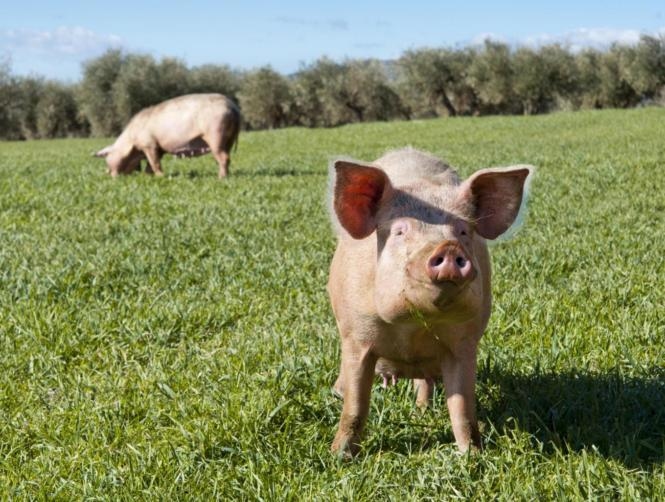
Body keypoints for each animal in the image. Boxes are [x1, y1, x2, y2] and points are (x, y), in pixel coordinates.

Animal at [94, 93, 240, 178]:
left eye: (107, 157)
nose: (107, 174)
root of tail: (232, 106)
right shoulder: (158, 148)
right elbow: (150, 164)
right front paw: (148, 177)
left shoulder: (149, 144)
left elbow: (154, 163)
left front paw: (161, 176)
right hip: (228, 138)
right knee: (225, 156)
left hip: (215, 133)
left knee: (224, 157)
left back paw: (221, 178)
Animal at [327, 148, 533, 457]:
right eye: (400, 231)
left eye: (463, 231)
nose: (447, 248)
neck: (413, 328)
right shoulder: (357, 335)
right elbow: (355, 407)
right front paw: (338, 457)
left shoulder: (465, 343)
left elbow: (463, 409)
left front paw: (472, 456)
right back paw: (337, 393)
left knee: (424, 383)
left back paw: (422, 411)